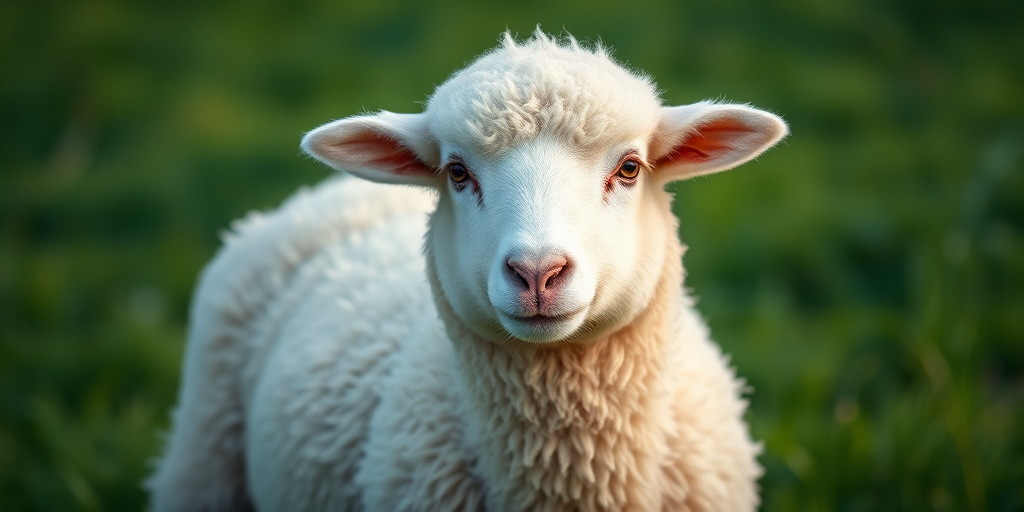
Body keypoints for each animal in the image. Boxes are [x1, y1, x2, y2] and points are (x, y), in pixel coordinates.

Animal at [146, 30, 787, 512]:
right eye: (457, 172)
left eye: (629, 168)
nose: (537, 273)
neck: (565, 479)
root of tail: (335, 192)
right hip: (203, 455)